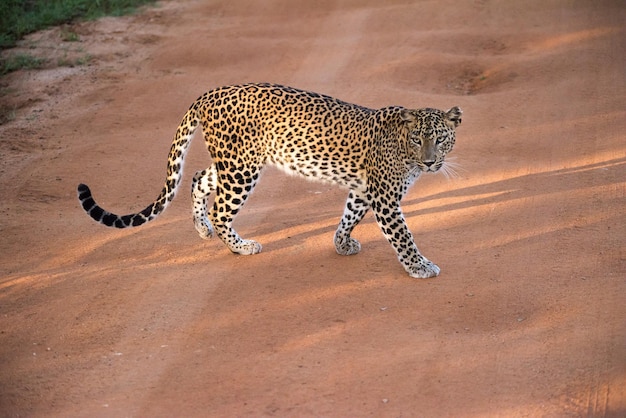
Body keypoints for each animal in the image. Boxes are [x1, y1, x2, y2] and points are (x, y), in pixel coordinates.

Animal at [77, 82, 458, 278]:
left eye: (440, 139)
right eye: (418, 139)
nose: (430, 162)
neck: (403, 147)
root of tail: (210, 93)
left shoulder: (364, 190)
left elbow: (349, 216)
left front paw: (342, 243)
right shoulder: (385, 197)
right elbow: (403, 235)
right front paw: (420, 266)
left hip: (234, 162)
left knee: (199, 178)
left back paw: (203, 230)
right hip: (241, 168)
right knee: (220, 209)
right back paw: (240, 246)